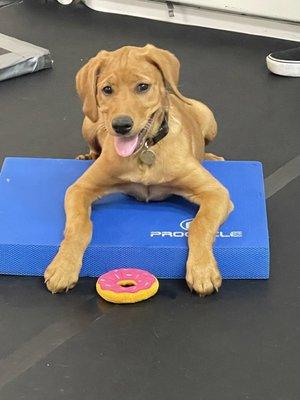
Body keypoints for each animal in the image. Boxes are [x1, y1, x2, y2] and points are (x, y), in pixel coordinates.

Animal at [43, 45, 233, 296]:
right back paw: (88, 155)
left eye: (143, 86)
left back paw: (211, 156)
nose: (121, 125)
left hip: (208, 116)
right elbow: (78, 226)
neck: (144, 151)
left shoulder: (216, 192)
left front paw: (203, 269)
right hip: (89, 121)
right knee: (93, 143)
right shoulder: (79, 189)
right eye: (107, 89)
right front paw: (63, 266)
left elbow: (199, 225)